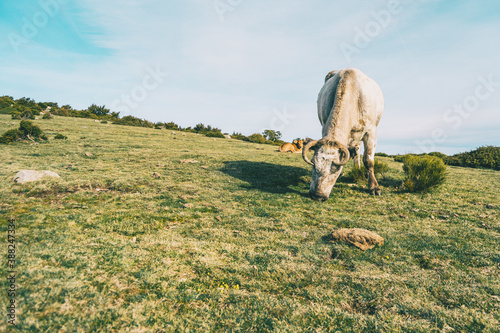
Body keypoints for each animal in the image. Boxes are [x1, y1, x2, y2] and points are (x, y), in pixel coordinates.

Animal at [302, 67, 384, 200]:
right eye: (313, 164)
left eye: (336, 168)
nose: (317, 195)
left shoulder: (370, 131)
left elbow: (368, 160)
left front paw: (374, 187)